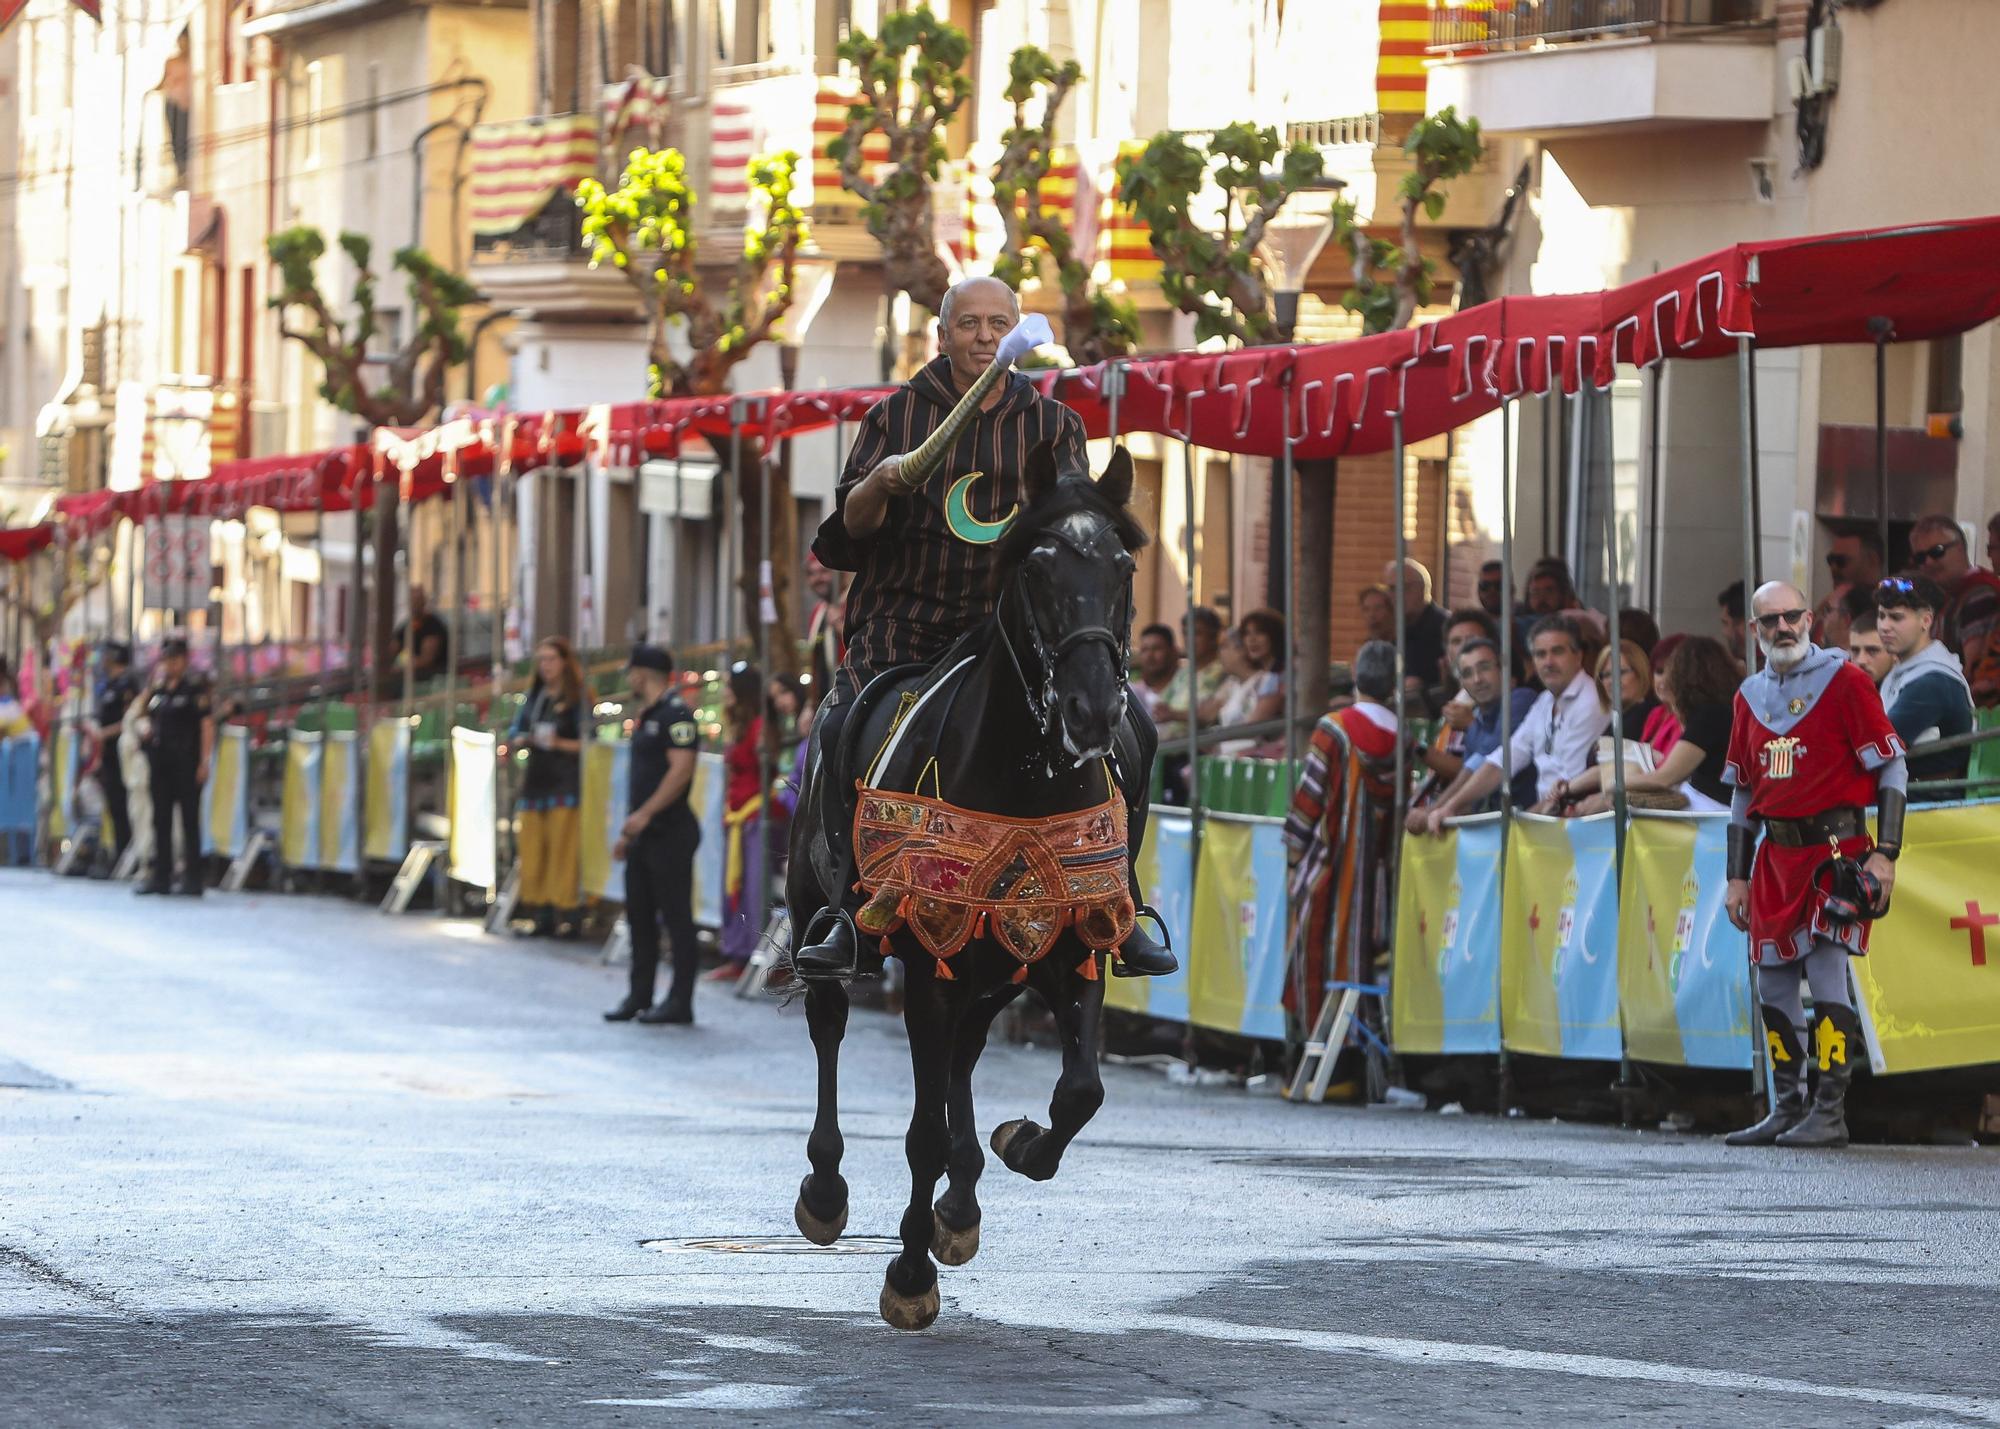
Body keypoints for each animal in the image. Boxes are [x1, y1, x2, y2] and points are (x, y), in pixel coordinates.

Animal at [784, 436, 1152, 1320]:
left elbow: (1080, 1091)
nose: (1092, 709)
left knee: (965, 1055)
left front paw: (1018, 1145)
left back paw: (961, 1198)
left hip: (992, 962)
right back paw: (826, 1189)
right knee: (828, 1025)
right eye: (1038, 566)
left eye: (1124, 565)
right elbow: (916, 1130)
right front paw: (909, 1275)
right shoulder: (927, 961)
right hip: (822, 917)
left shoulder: (1074, 940)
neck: (1022, 778)